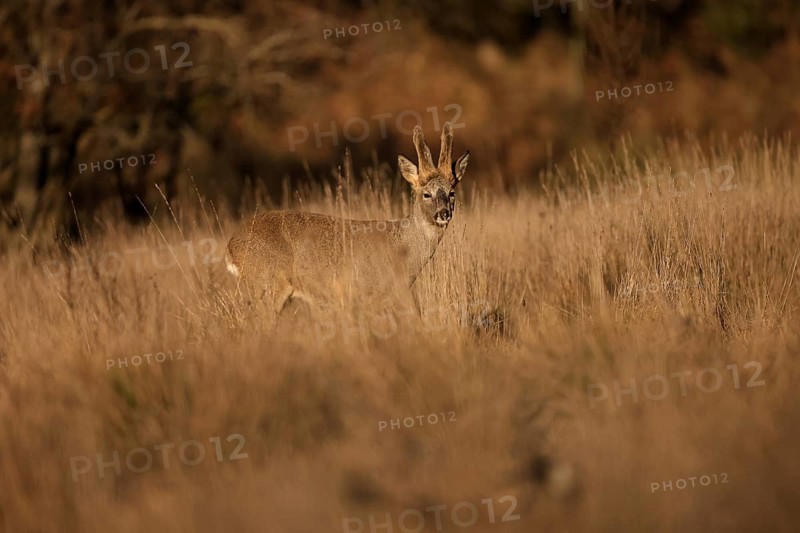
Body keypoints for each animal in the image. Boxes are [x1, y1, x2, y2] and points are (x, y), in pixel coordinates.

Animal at [225, 122, 469, 317]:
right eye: (426, 194)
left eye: (452, 193)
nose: (444, 213)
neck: (402, 249)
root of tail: (230, 246)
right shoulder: (365, 291)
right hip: (269, 282)